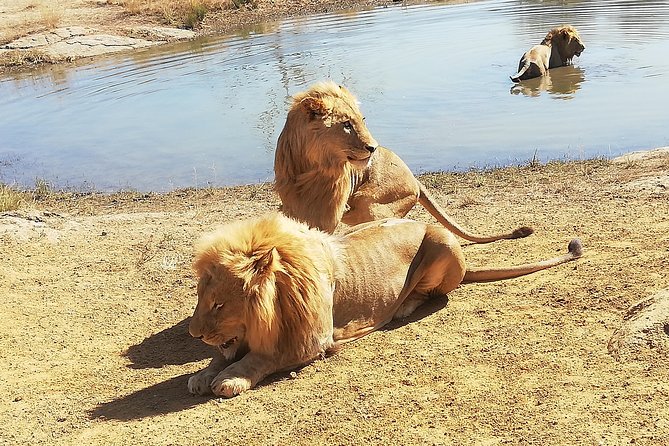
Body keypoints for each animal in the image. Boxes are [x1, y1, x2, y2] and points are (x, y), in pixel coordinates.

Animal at [187, 212, 583, 398]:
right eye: (200, 299)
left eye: (219, 304)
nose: (194, 334)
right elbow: (221, 356)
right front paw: (203, 375)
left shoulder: (313, 341)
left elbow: (261, 357)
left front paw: (229, 378)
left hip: (444, 242)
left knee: (435, 294)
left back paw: (404, 307)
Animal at [274, 81, 533, 243]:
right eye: (346, 124)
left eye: (362, 120)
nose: (373, 147)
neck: (311, 167)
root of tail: (416, 180)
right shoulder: (295, 204)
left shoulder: (328, 211)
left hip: (369, 202)